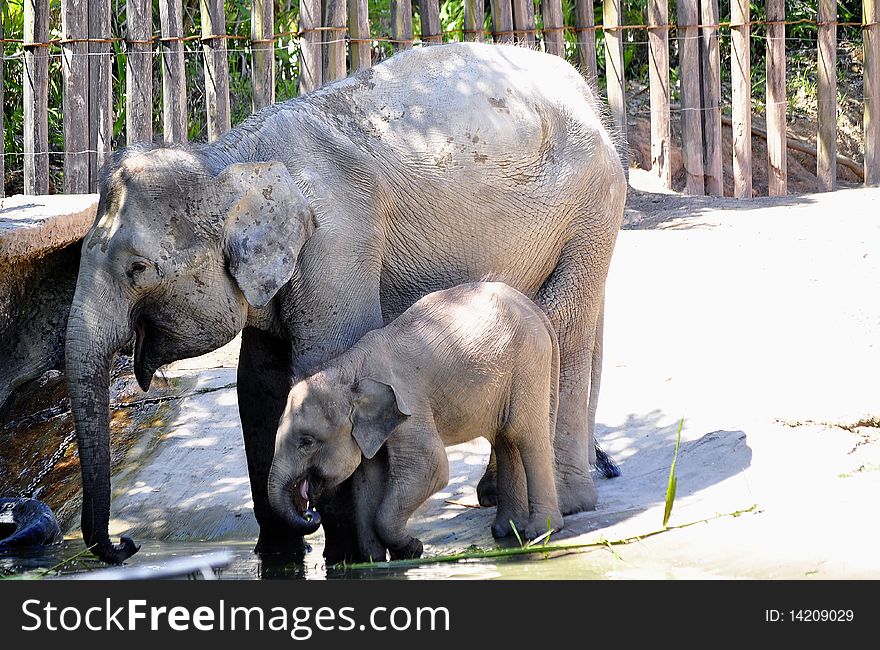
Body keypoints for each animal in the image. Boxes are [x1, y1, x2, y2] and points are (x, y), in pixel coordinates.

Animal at [264, 278, 564, 556]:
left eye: (307, 442)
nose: (309, 513)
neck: (349, 368)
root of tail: (536, 312)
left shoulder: (409, 403)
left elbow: (430, 467)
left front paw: (412, 549)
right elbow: (367, 480)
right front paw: (376, 560)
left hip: (528, 365)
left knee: (525, 436)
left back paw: (539, 531)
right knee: (505, 440)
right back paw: (504, 530)